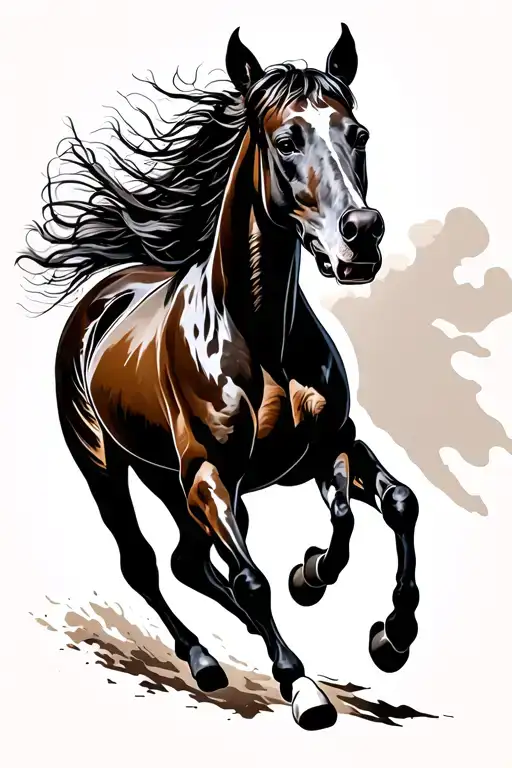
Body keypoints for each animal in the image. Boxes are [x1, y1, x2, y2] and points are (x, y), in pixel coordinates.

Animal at [19, 24, 420, 731]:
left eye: (359, 134)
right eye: (286, 141)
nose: (361, 236)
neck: (260, 338)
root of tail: (100, 299)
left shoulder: (330, 445)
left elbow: (392, 504)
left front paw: (380, 629)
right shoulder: (211, 473)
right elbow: (254, 581)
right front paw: (302, 683)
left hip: (166, 478)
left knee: (190, 562)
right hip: (108, 468)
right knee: (147, 566)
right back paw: (203, 660)